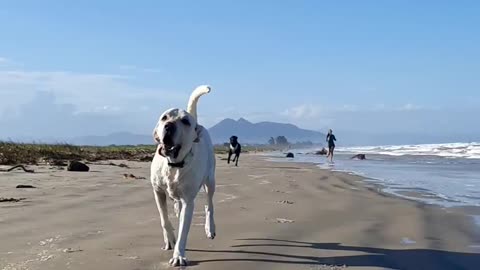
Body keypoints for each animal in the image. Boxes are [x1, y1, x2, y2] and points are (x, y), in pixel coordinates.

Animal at [151, 85, 217, 266]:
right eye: (164, 117)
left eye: (185, 122)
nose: (168, 126)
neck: (173, 165)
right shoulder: (157, 191)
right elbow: (164, 219)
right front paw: (169, 239)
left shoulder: (188, 201)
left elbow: (184, 230)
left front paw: (178, 255)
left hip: (210, 181)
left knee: (209, 205)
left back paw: (210, 228)